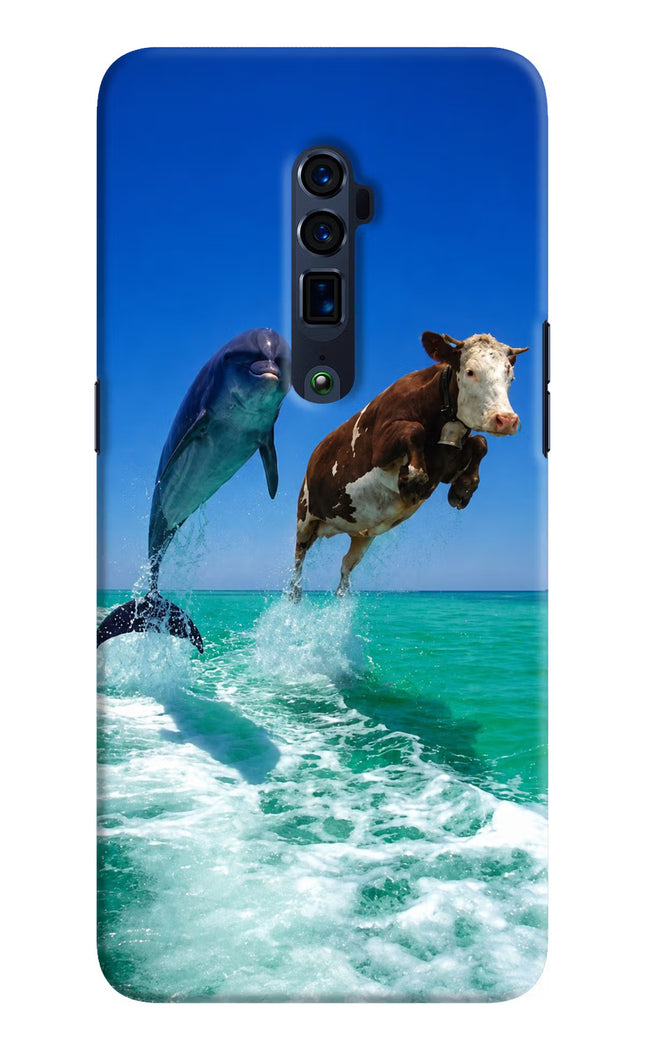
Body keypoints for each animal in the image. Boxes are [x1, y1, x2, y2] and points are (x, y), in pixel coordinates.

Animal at [289, 330, 528, 600]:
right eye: (470, 371)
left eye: (511, 375)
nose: (506, 420)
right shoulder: (380, 447)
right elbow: (414, 430)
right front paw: (413, 479)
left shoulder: (446, 465)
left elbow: (480, 442)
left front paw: (463, 488)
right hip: (304, 517)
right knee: (298, 560)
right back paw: (295, 594)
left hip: (361, 535)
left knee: (345, 566)